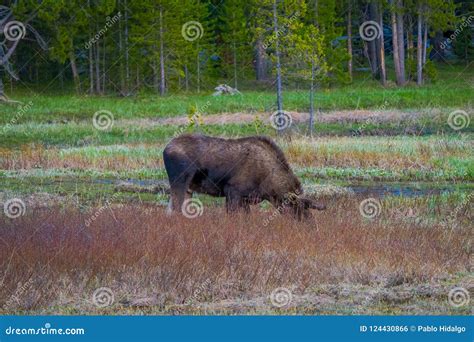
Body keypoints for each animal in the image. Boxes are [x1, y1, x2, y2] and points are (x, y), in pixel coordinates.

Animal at [164, 133, 326, 219]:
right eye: (298, 207)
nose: (311, 224)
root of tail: (165, 149)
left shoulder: (245, 198)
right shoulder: (232, 191)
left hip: (188, 188)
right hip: (180, 181)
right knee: (176, 209)